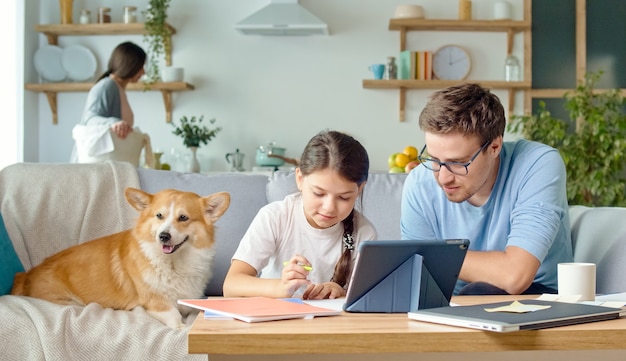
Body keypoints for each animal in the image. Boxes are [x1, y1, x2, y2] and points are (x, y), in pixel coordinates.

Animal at [11, 187, 230, 328]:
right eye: (159, 216)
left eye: (183, 217)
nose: (163, 236)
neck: (174, 264)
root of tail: (25, 276)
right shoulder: (158, 304)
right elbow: (177, 321)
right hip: (70, 302)